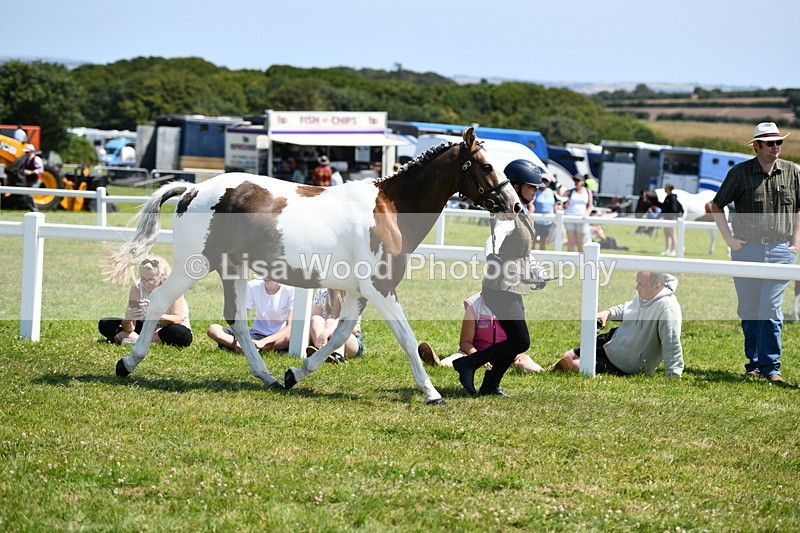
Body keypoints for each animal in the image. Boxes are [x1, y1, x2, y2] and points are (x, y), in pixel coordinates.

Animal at [105, 127, 521, 405]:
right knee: (160, 303)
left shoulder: (360, 294)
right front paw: (431, 392)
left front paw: (295, 373)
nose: (515, 205)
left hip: (231, 269)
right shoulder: (381, 289)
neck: (390, 210)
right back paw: (127, 363)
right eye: (486, 165)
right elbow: (405, 336)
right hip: (194, 265)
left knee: (236, 320)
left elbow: (339, 336)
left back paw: (269, 377)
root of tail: (191, 189)